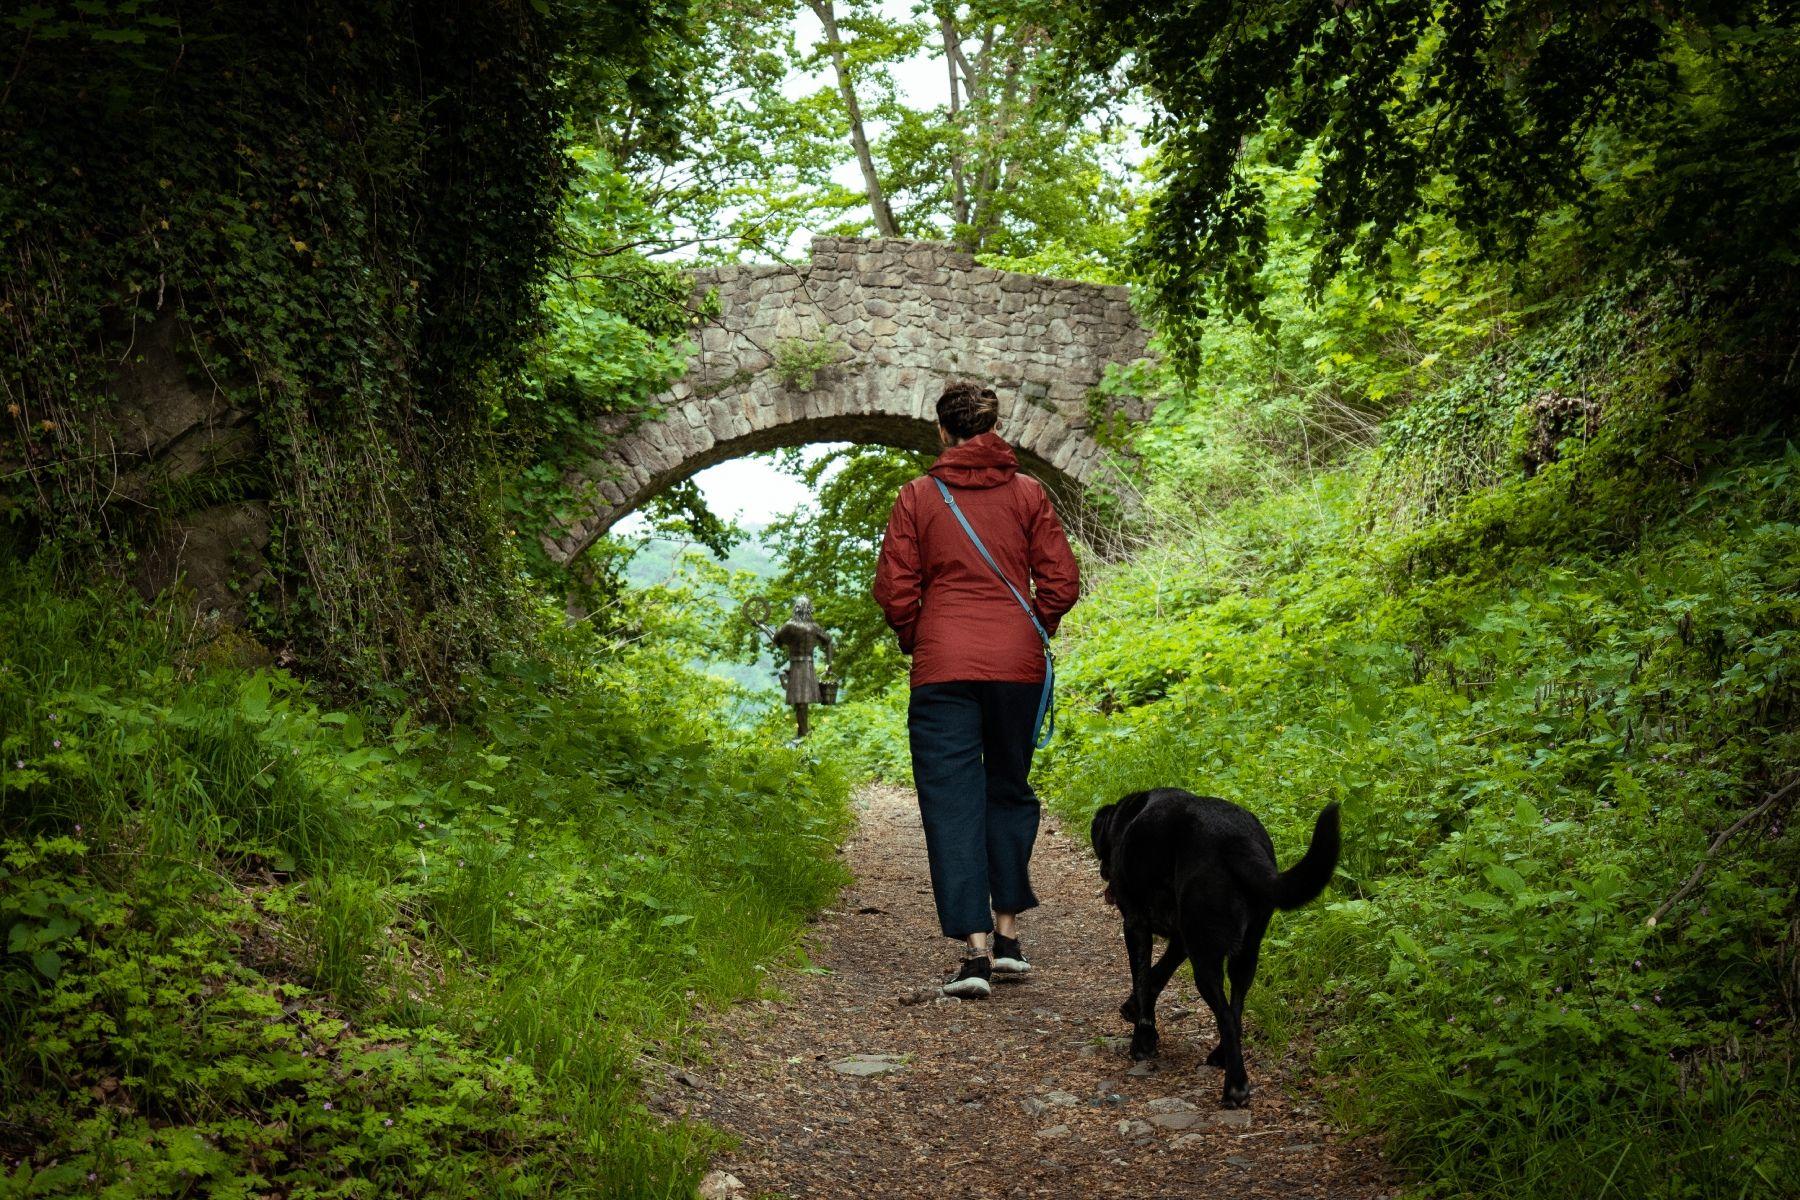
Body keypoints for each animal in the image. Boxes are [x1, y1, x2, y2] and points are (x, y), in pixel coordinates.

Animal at [1080, 788, 1339, 1108]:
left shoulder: (1136, 925)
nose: (1104, 872)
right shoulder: (1182, 939)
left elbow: (1142, 977)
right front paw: (1133, 1010)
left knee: (1226, 1016)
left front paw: (1143, 1037)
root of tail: (1236, 841)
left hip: (1205, 960)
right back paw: (1222, 1057)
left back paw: (1235, 1087)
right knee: (1236, 1010)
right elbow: (1156, 975)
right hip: (1244, 954)